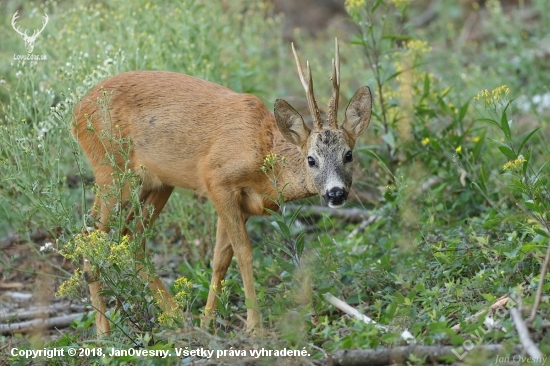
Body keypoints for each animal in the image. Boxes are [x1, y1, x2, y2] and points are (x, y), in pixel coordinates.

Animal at [73, 39, 374, 334]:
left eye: (348, 155)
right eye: (311, 159)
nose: (336, 193)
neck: (264, 152)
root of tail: (76, 113)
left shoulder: (243, 203)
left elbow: (220, 258)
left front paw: (208, 322)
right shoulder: (217, 180)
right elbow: (244, 253)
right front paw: (254, 327)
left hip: (157, 184)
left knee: (132, 238)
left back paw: (178, 318)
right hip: (111, 173)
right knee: (90, 234)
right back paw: (104, 332)